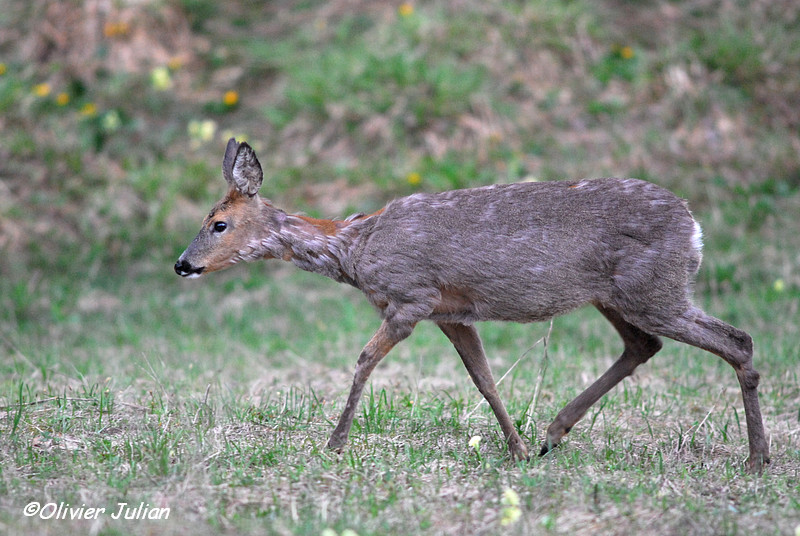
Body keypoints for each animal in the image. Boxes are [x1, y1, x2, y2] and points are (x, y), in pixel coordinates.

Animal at [173, 139, 768, 474]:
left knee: (737, 339)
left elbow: (363, 362)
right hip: (618, 295)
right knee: (644, 345)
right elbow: (483, 379)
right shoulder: (451, 312)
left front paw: (335, 444)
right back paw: (552, 434)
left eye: (218, 223)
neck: (355, 248)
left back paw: (758, 458)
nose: (182, 264)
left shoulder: (410, 297)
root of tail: (694, 228)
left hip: (654, 289)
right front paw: (518, 450)